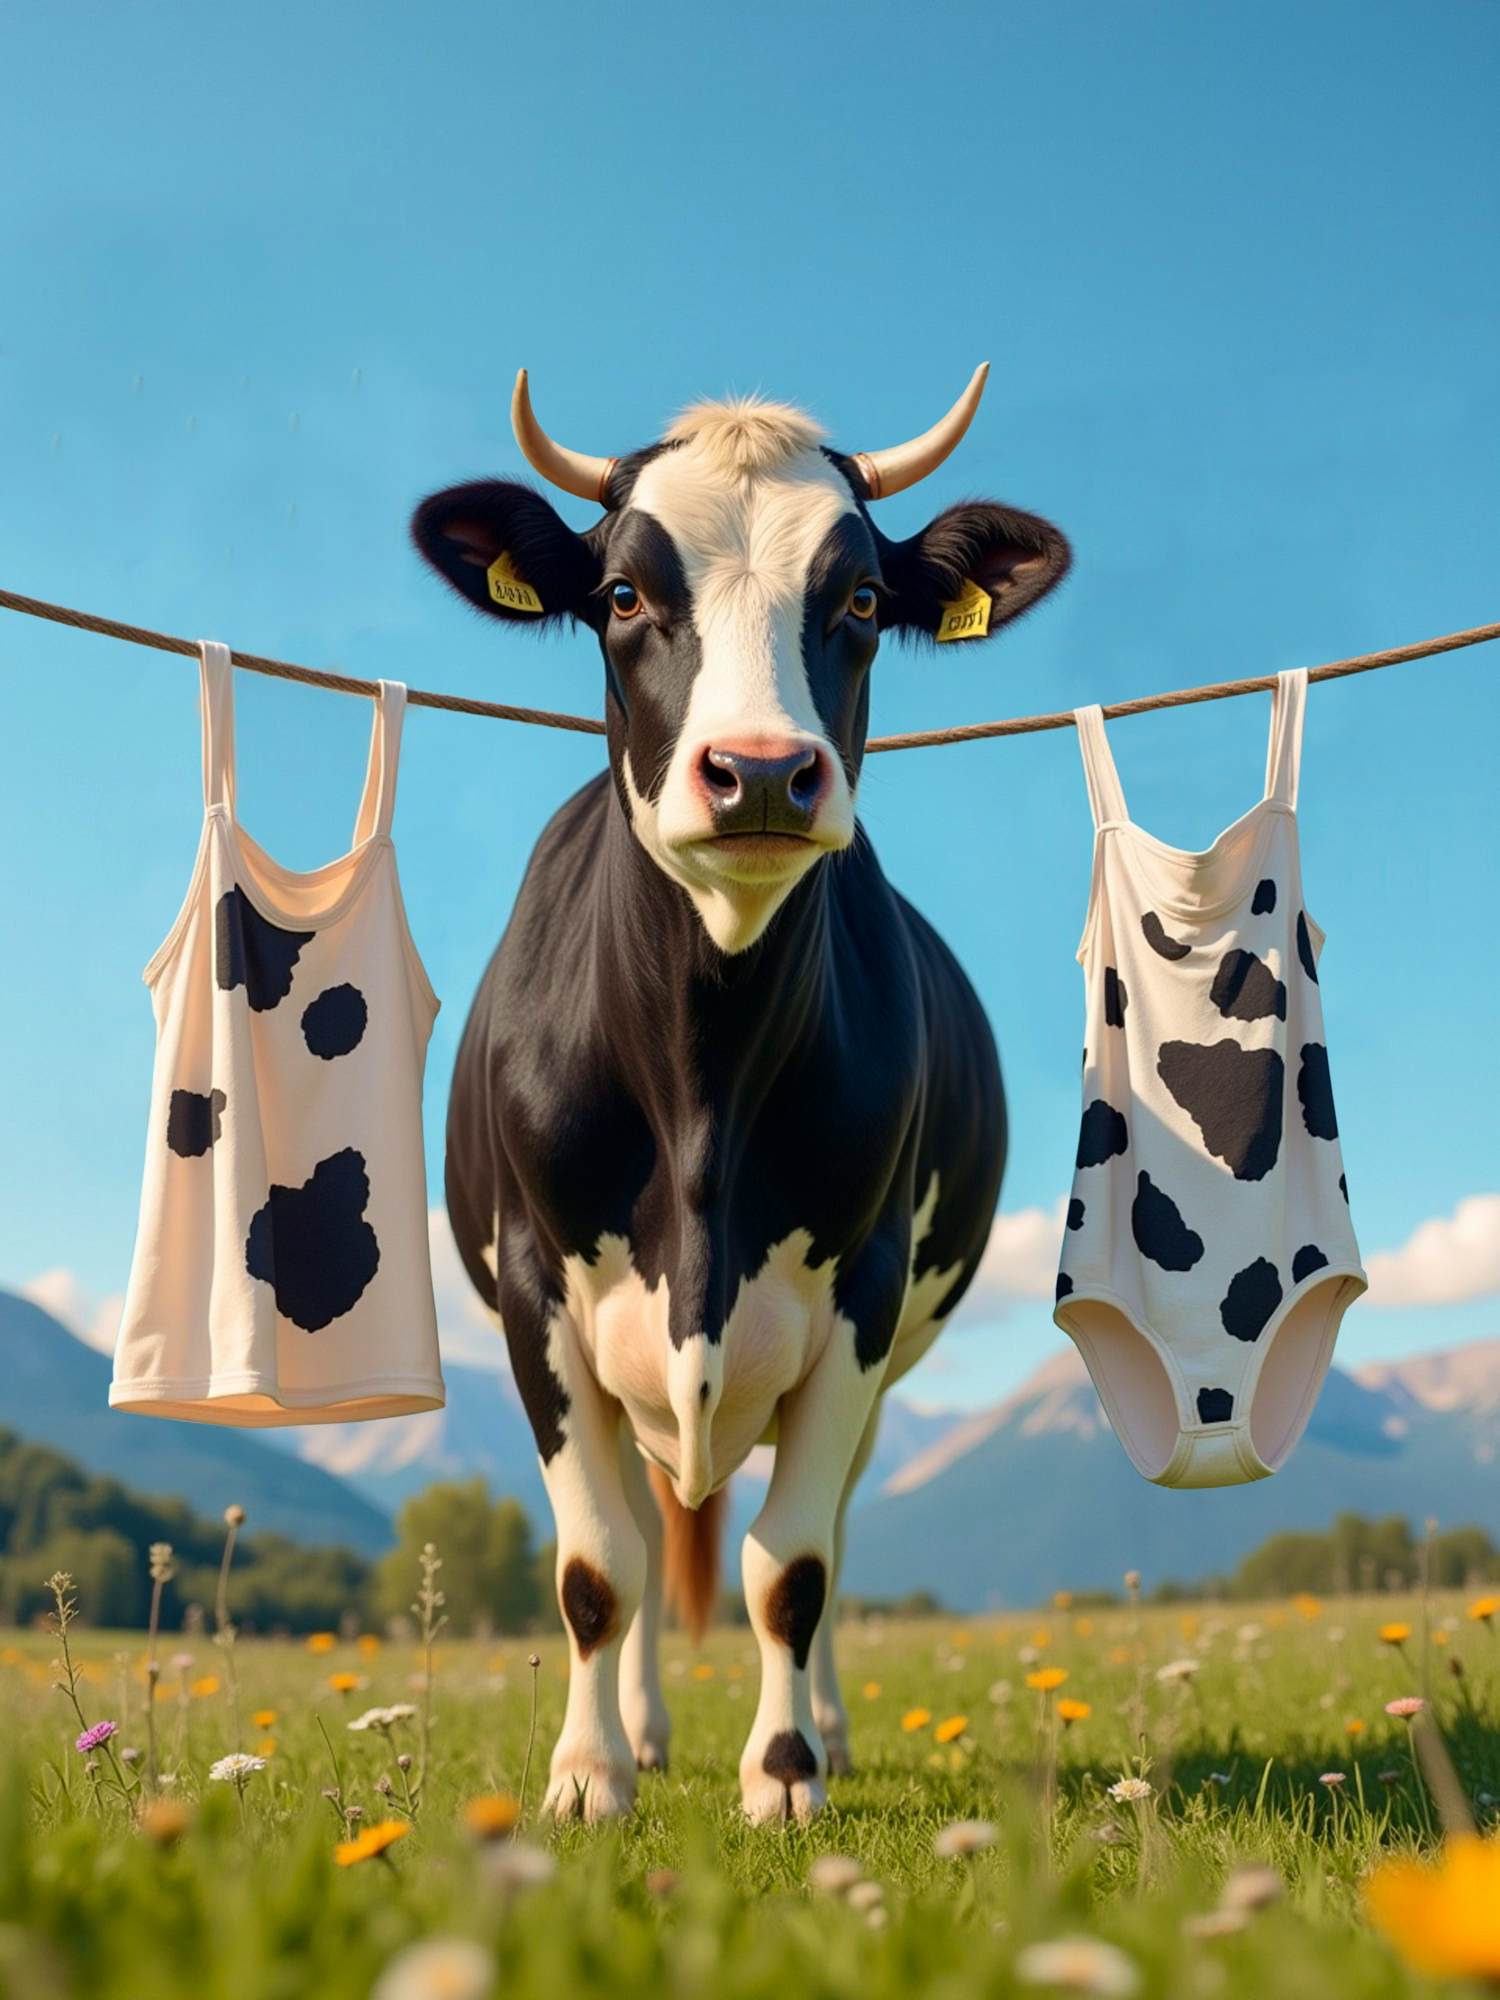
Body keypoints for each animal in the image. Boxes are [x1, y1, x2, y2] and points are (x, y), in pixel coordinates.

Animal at [411, 369, 1069, 1822]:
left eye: (863, 598)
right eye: (621, 593)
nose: (762, 769)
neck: (702, 1083)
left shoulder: (864, 1296)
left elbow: (793, 1567)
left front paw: (784, 1771)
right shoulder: (540, 1292)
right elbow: (598, 1568)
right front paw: (591, 1772)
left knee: (811, 1540)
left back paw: (825, 1725)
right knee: (655, 1535)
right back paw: (648, 1729)